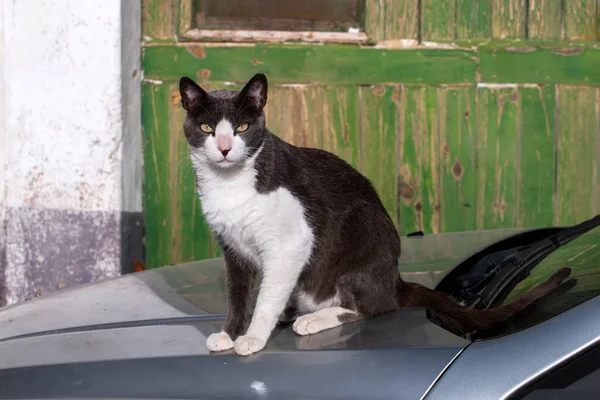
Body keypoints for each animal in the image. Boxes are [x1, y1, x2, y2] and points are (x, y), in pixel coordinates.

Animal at [178, 72, 572, 356]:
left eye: (242, 128)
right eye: (207, 128)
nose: (225, 149)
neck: (231, 183)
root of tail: (394, 279)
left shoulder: (291, 242)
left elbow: (265, 297)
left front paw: (253, 338)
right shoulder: (233, 248)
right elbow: (238, 295)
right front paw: (229, 334)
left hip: (361, 243)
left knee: (372, 306)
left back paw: (313, 318)